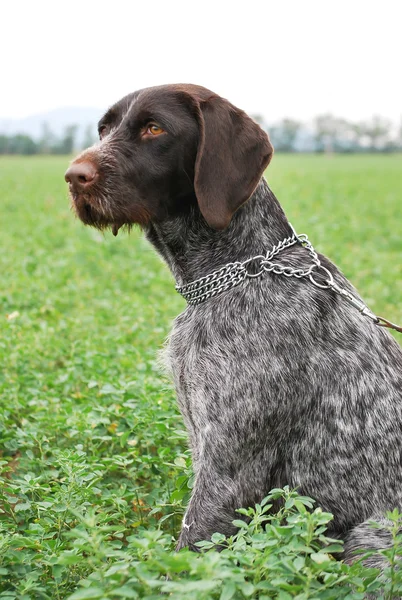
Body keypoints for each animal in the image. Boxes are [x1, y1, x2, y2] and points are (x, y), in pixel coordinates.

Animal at [65, 82, 402, 560]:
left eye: (154, 128)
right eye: (104, 129)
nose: (73, 176)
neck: (243, 264)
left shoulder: (228, 468)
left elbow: (190, 552)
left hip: (374, 535)